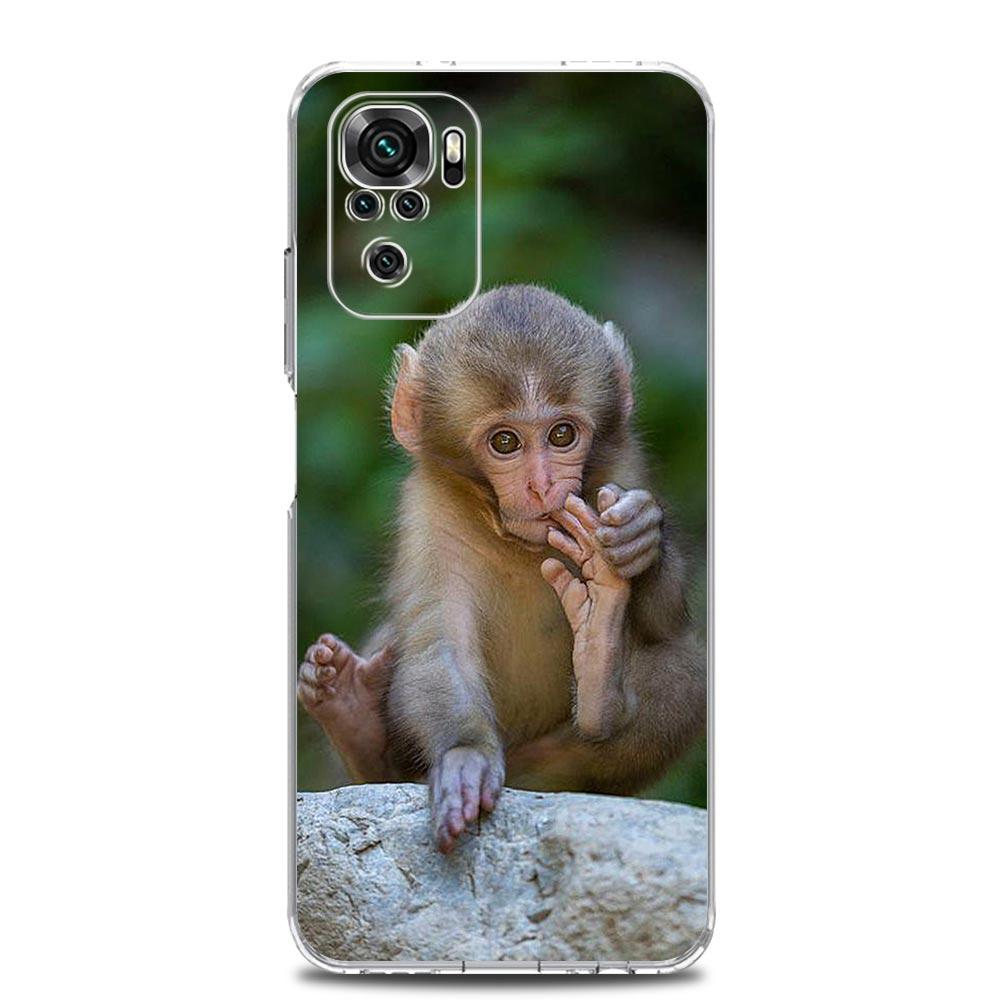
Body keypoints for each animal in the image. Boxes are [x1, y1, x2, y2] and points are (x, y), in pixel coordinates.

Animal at [298, 285, 705, 853]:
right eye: (505, 442)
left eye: (562, 435)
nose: (541, 485)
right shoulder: (429, 513)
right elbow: (438, 644)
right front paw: (465, 756)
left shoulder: (623, 470)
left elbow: (669, 626)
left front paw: (639, 537)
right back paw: (351, 717)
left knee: (685, 673)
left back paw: (600, 684)